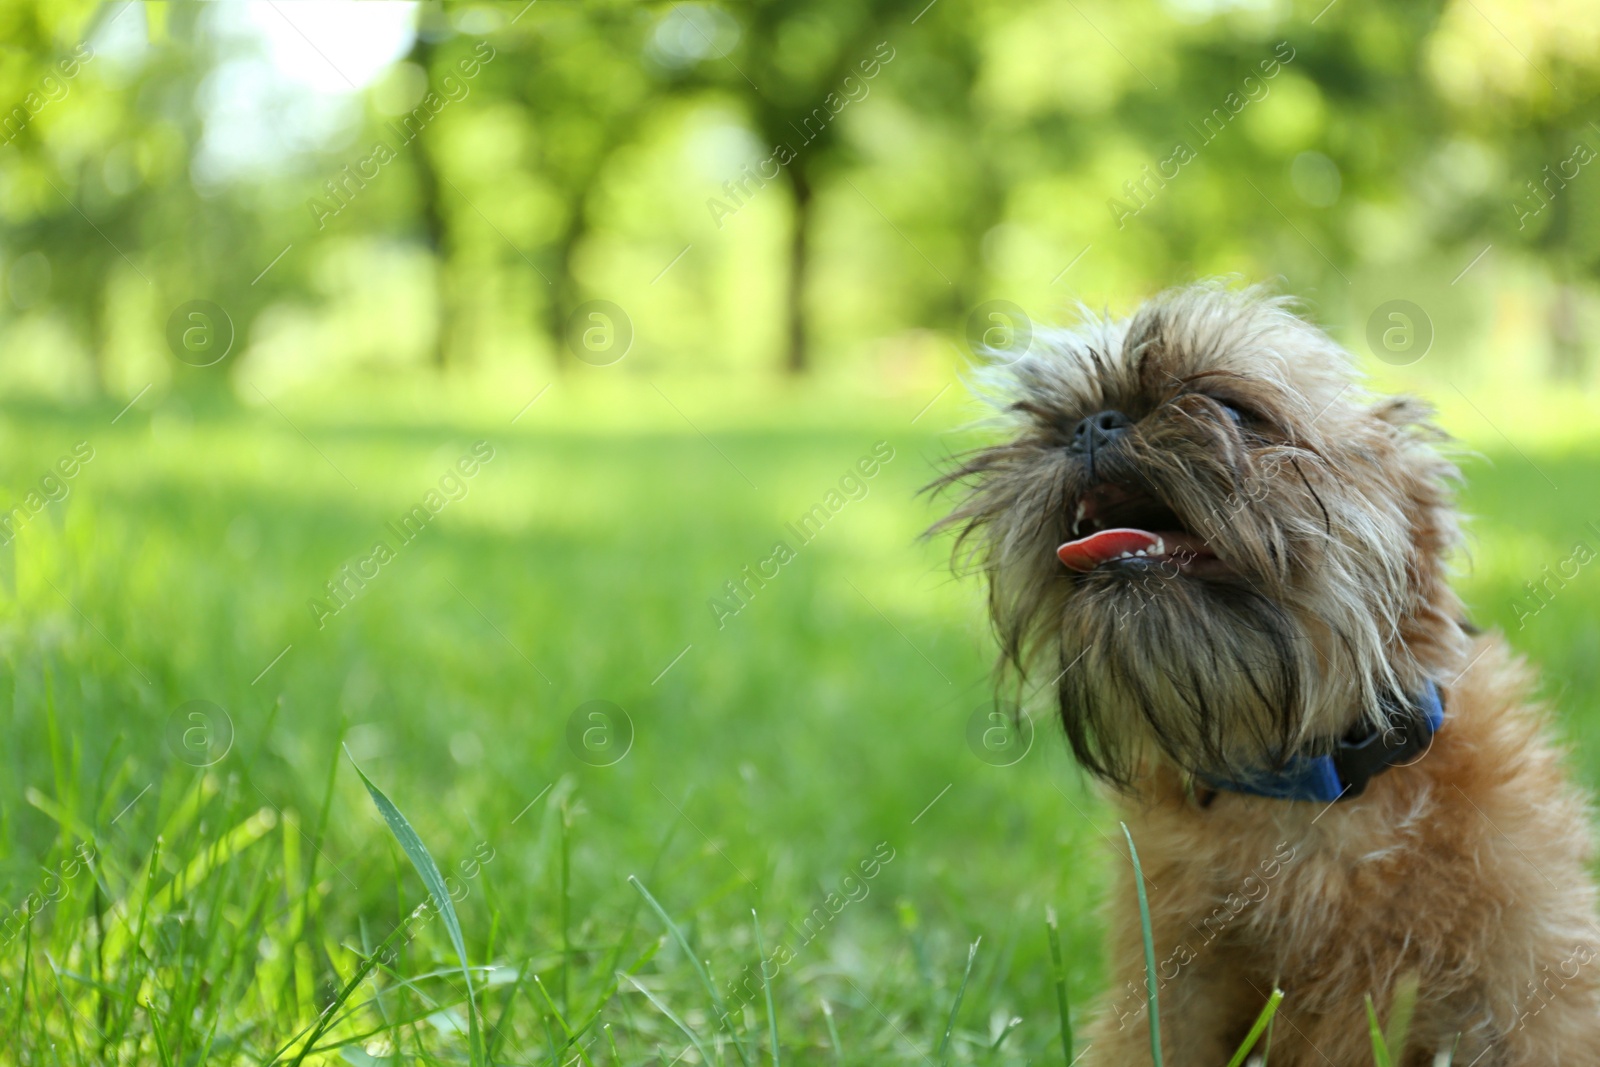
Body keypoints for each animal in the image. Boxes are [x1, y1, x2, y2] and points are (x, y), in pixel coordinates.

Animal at [934, 283, 1600, 1067]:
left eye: (1230, 408)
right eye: (1054, 419)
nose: (1092, 425)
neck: (1305, 786)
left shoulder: (1534, 993)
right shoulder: (1168, 1002)